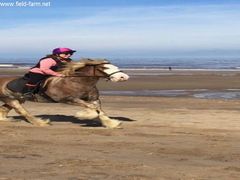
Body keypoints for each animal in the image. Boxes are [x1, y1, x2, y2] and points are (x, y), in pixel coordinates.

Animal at [0, 58, 129, 128]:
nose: (123, 77)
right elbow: (92, 109)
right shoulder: (69, 99)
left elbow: (99, 110)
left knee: (4, 109)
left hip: (17, 99)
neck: (78, 81)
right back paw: (42, 123)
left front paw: (113, 124)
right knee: (23, 112)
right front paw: (84, 115)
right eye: (105, 68)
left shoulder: (94, 99)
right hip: (12, 100)